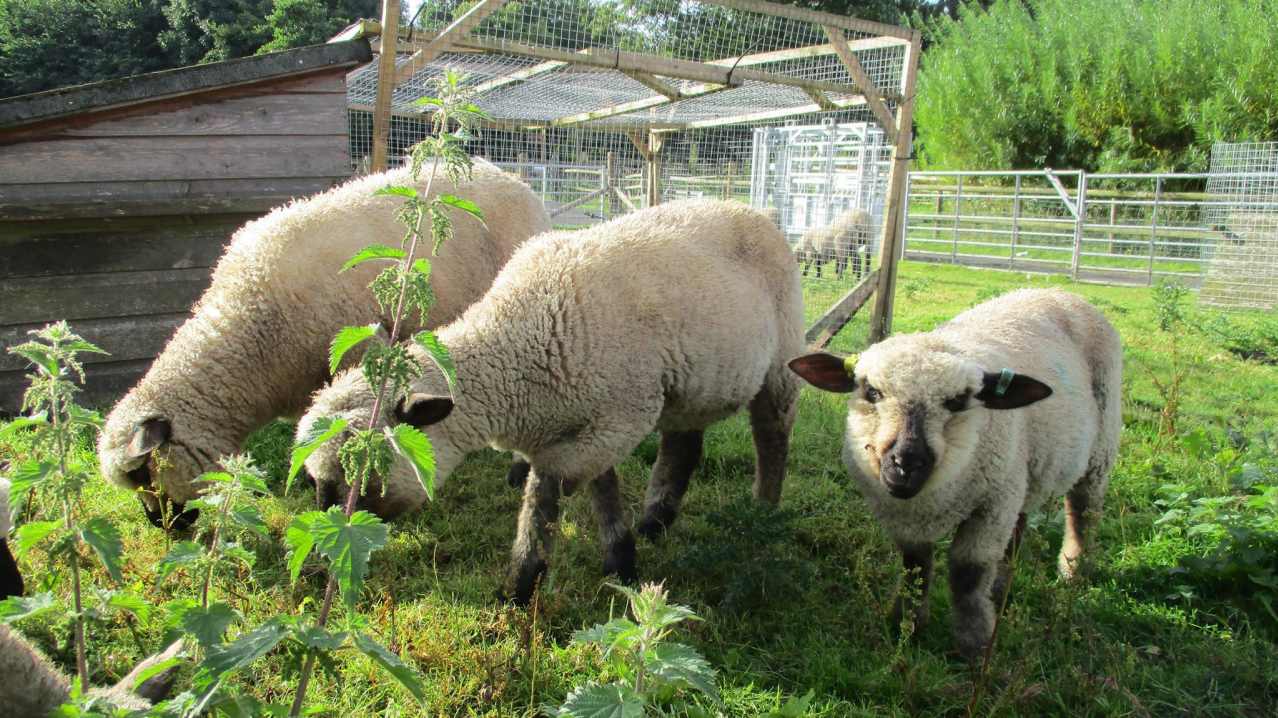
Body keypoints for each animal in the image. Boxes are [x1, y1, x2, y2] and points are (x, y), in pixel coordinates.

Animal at [298, 199, 804, 604]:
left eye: (363, 476)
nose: (327, 555)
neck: (519, 347)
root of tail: (749, 209)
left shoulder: (616, 419)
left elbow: (541, 498)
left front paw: (520, 586)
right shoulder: (590, 427)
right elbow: (603, 491)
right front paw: (622, 561)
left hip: (782, 359)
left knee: (772, 436)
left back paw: (763, 513)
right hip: (691, 385)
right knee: (683, 447)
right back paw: (654, 523)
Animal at [788, 288, 1122, 660]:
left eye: (958, 401)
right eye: (872, 392)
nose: (906, 463)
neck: (929, 500)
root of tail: (1059, 291)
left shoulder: (990, 506)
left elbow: (968, 574)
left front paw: (973, 646)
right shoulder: (908, 516)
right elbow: (915, 567)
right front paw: (905, 626)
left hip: (1098, 451)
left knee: (1083, 514)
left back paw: (1071, 575)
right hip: (1020, 473)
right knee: (1018, 527)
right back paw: (1001, 592)